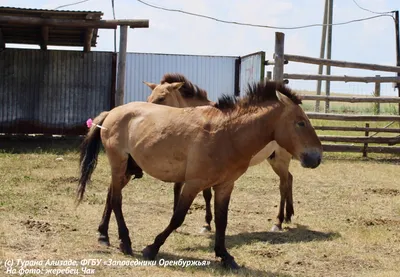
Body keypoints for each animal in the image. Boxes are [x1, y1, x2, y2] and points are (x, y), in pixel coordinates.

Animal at [145, 73, 296, 231]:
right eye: (149, 97)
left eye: (161, 98)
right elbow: (178, 188)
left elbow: (206, 194)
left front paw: (206, 224)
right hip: (274, 160)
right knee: (289, 179)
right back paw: (288, 215)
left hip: (280, 160)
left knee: (283, 185)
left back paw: (278, 222)